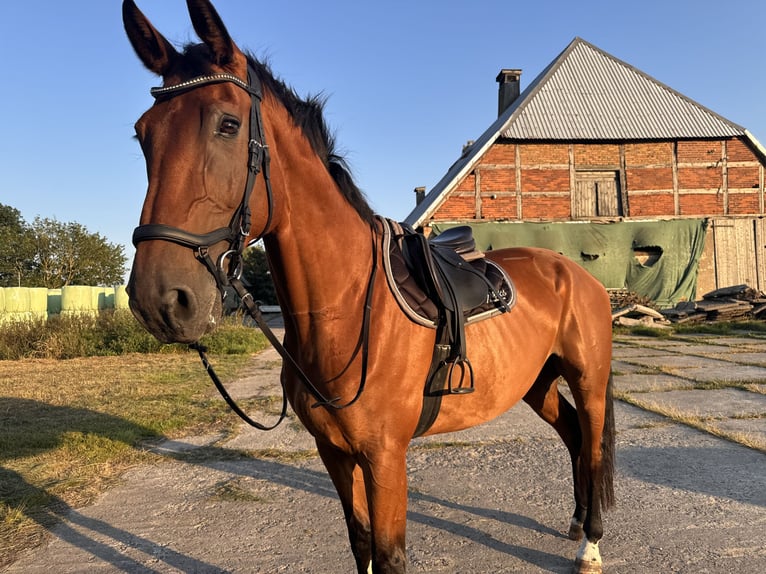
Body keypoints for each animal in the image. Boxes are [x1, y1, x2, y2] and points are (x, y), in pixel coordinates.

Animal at [123, 2, 616, 572]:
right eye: (142, 134)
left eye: (227, 124)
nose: (161, 301)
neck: (344, 311)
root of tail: (576, 274)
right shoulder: (335, 453)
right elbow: (360, 543)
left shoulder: (385, 457)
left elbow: (389, 552)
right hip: (537, 382)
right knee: (573, 435)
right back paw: (576, 522)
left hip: (587, 379)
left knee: (592, 444)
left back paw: (591, 544)